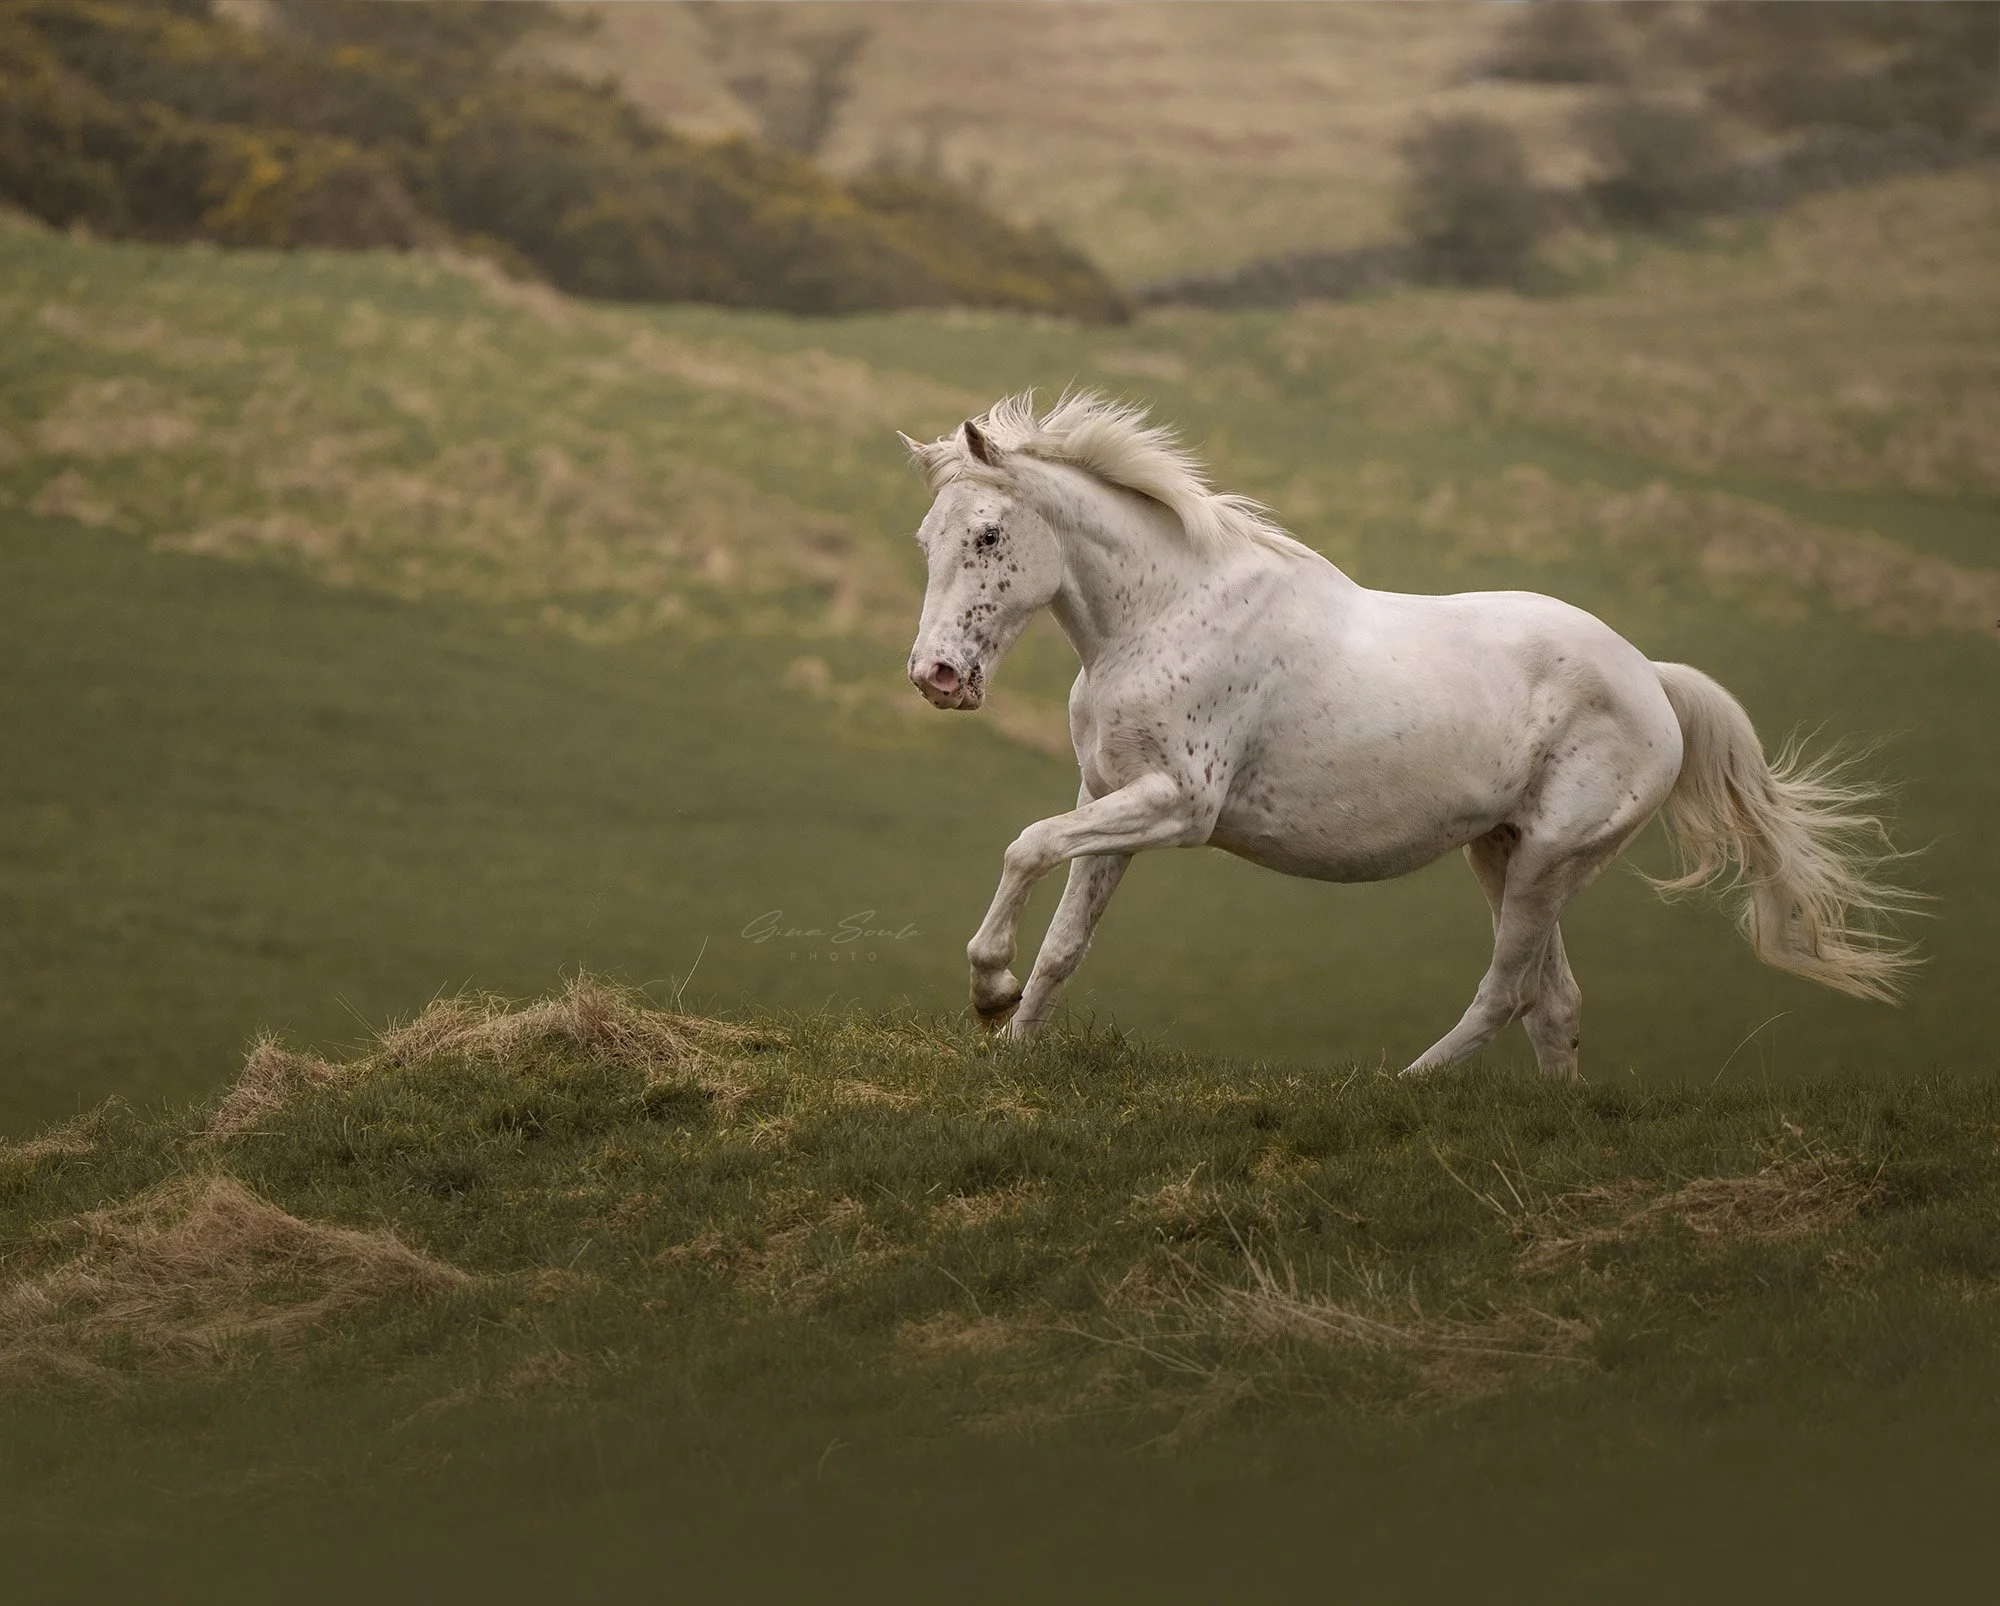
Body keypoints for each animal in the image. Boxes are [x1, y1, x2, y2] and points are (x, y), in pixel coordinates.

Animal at [897, 393, 1916, 1078]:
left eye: (988, 535)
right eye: (925, 538)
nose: (935, 677)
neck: (1163, 616)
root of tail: (1653, 681)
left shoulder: (1178, 807)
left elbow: (1026, 846)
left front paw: (987, 989)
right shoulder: (1110, 797)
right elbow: (1067, 937)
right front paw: (1012, 1042)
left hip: (1550, 857)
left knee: (1509, 991)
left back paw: (1404, 1087)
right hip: (1507, 854)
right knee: (1555, 1002)